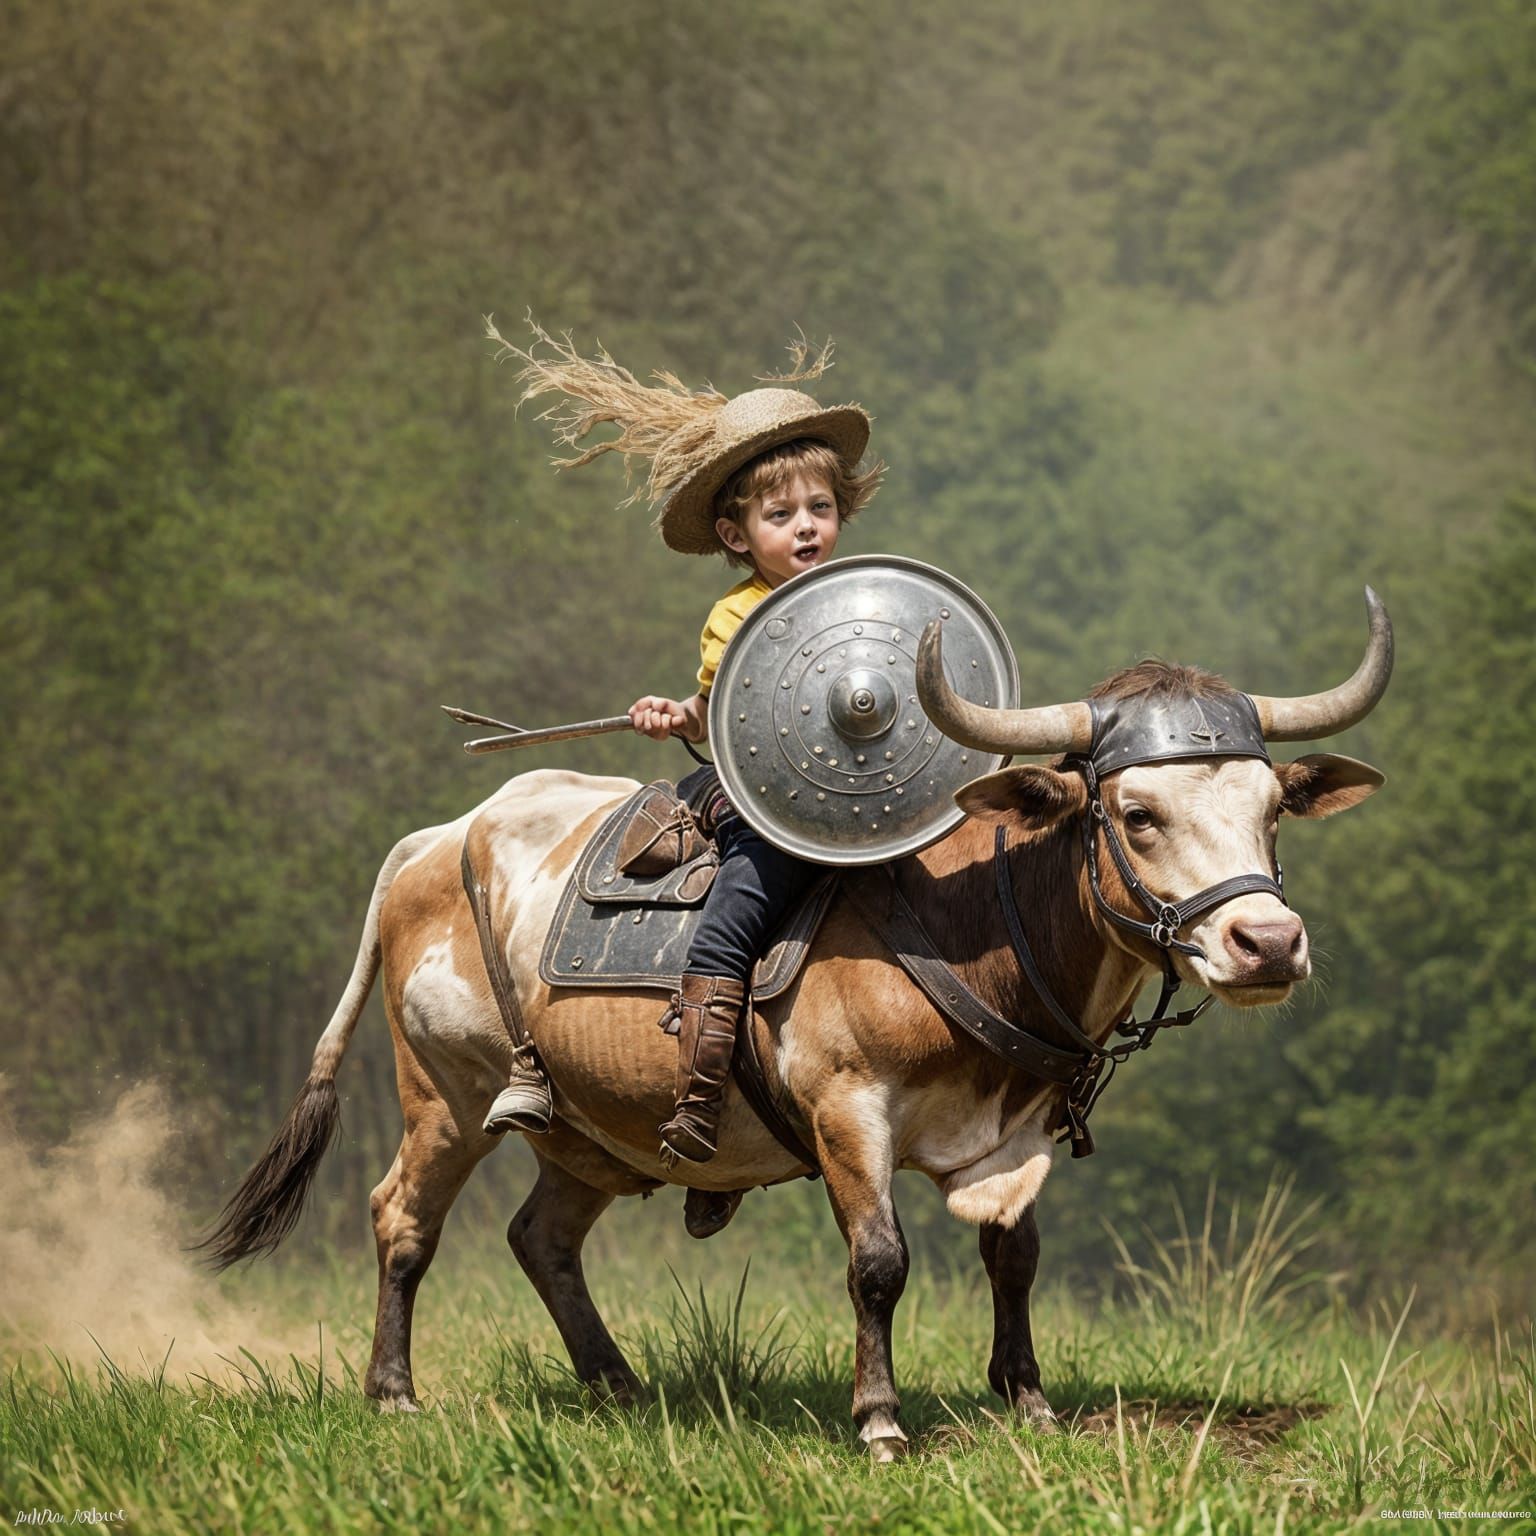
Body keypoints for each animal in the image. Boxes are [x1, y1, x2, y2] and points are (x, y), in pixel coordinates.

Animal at [202, 592, 1391, 1460]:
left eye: (1271, 810)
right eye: (1138, 815)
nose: (1267, 944)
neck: (970, 917)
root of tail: (444, 838)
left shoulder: (1016, 1132)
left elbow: (1015, 1253)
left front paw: (1029, 1401)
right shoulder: (846, 1108)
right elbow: (880, 1262)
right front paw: (881, 1421)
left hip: (587, 1134)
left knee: (541, 1238)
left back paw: (618, 1383)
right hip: (442, 1096)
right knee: (402, 1218)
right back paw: (393, 1392)